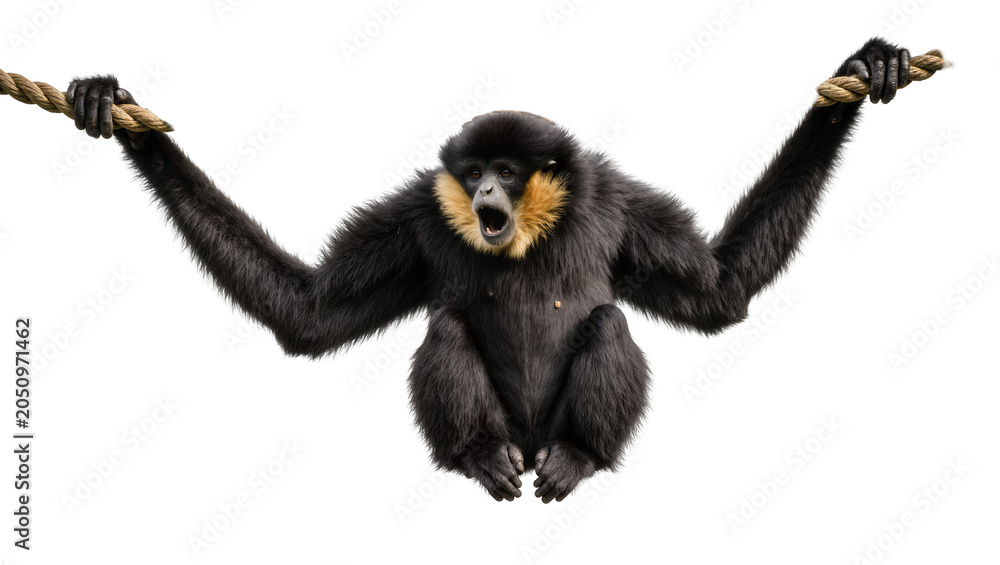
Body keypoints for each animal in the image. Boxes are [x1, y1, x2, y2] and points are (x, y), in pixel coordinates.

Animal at [66, 37, 911, 502]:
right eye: (472, 172)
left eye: (506, 170)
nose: (484, 196)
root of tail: (530, 441)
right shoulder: (420, 212)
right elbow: (308, 313)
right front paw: (128, 123)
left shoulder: (611, 200)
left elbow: (718, 291)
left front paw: (856, 76)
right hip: (503, 423)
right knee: (446, 326)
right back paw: (479, 454)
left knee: (609, 321)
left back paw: (579, 454)